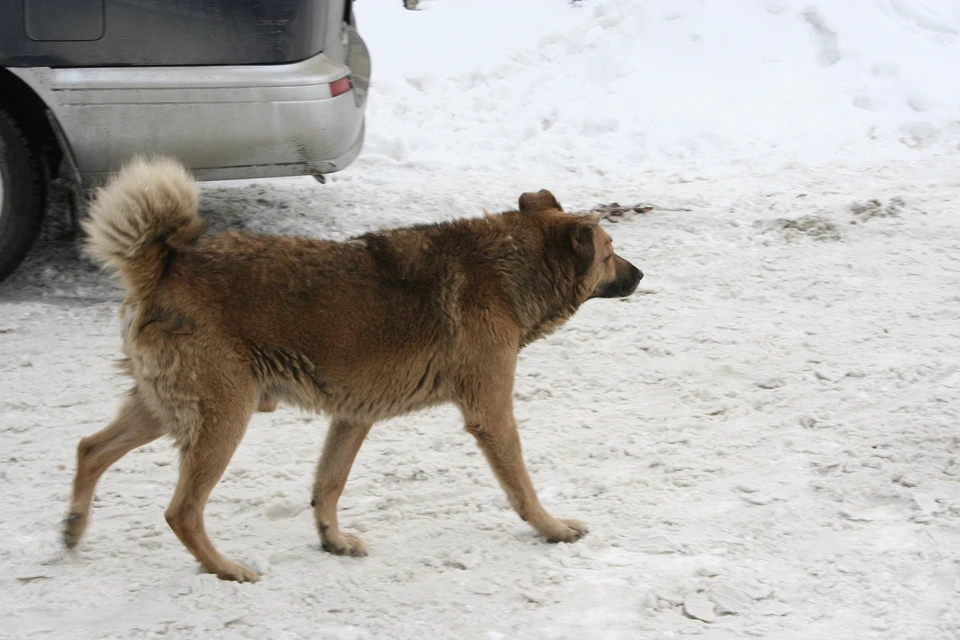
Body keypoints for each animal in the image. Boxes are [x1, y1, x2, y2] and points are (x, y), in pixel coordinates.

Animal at [63, 155, 640, 580]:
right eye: (610, 251)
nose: (640, 274)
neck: (508, 267)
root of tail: (162, 268)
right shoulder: (491, 414)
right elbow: (522, 487)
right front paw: (552, 529)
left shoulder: (354, 416)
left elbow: (328, 486)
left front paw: (332, 541)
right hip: (223, 417)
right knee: (180, 511)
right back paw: (226, 568)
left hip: (165, 408)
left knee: (90, 448)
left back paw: (72, 527)